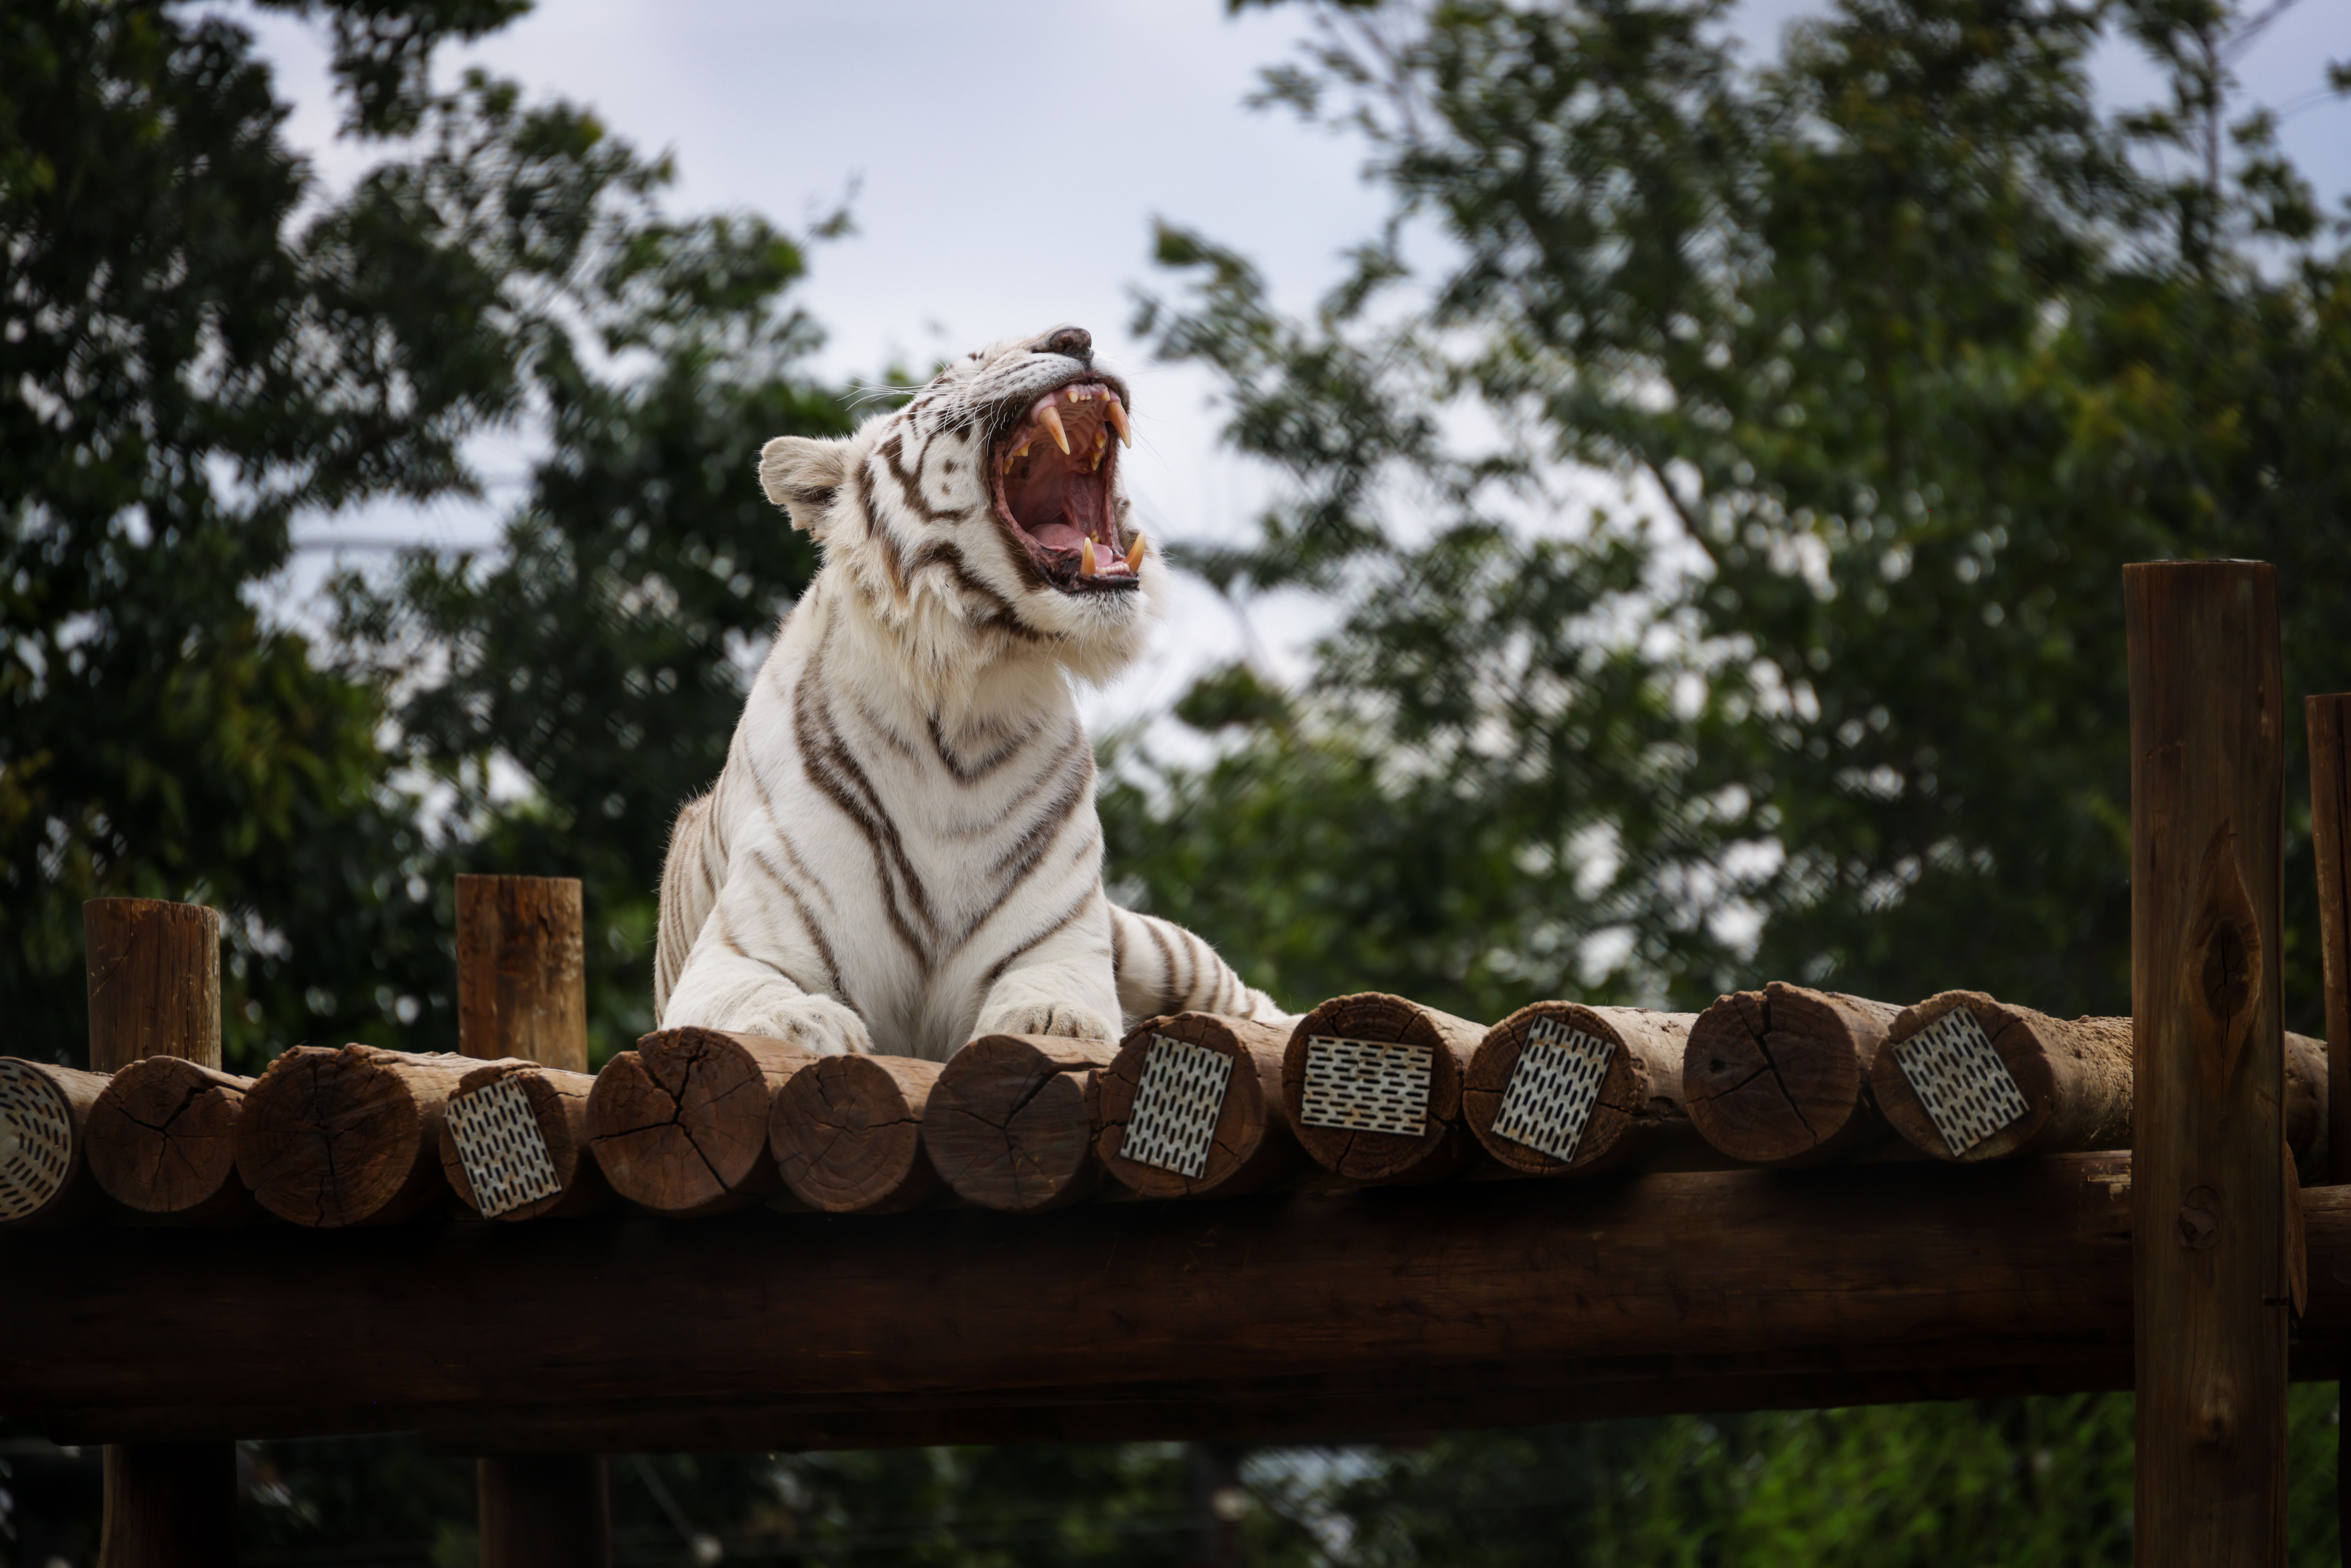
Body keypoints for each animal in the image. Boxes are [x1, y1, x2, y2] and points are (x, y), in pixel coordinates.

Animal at [653, 324, 1294, 1060]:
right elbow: (758, 1007)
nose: (1077, 336)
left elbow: (1055, 1000)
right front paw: (805, 1022)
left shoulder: (1059, 940)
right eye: (964, 366)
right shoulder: (739, 951)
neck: (965, 699)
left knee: (1251, 1002)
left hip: (1146, 939)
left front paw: (1051, 1021)